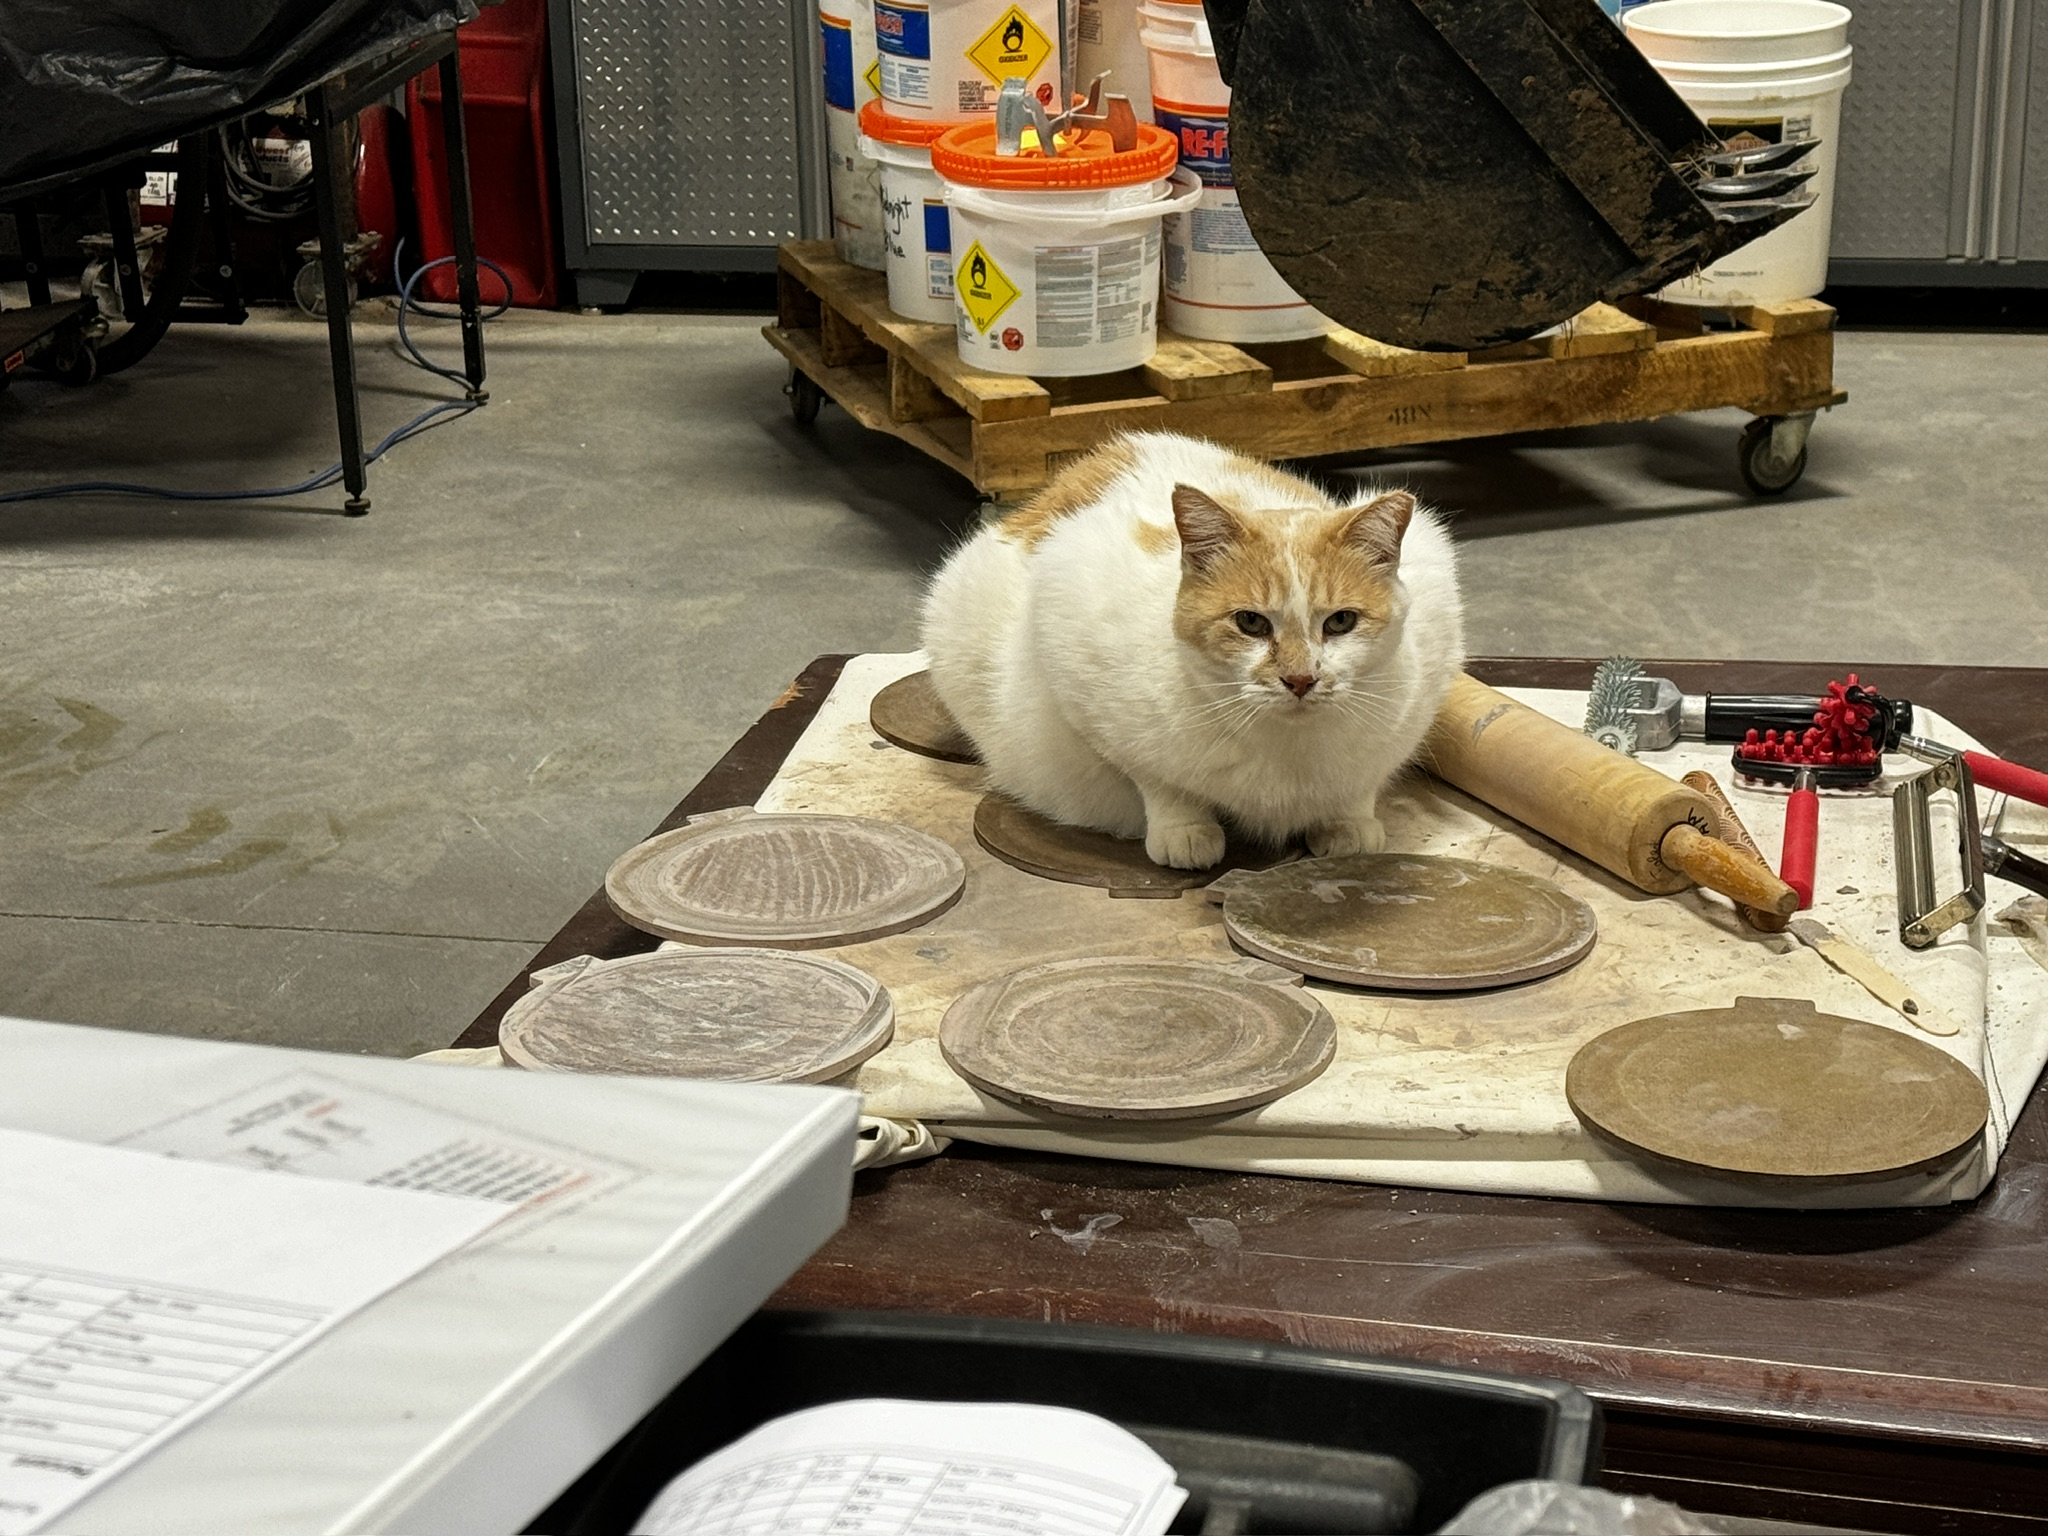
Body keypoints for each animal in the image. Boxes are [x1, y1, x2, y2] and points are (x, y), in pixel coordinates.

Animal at [921, 431, 1465, 869]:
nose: (1300, 679)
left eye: (1341, 622)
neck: (1289, 749)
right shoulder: (1072, 636)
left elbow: (1360, 785)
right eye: (1250, 622)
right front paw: (1185, 830)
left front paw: (1348, 822)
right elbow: (1158, 781)